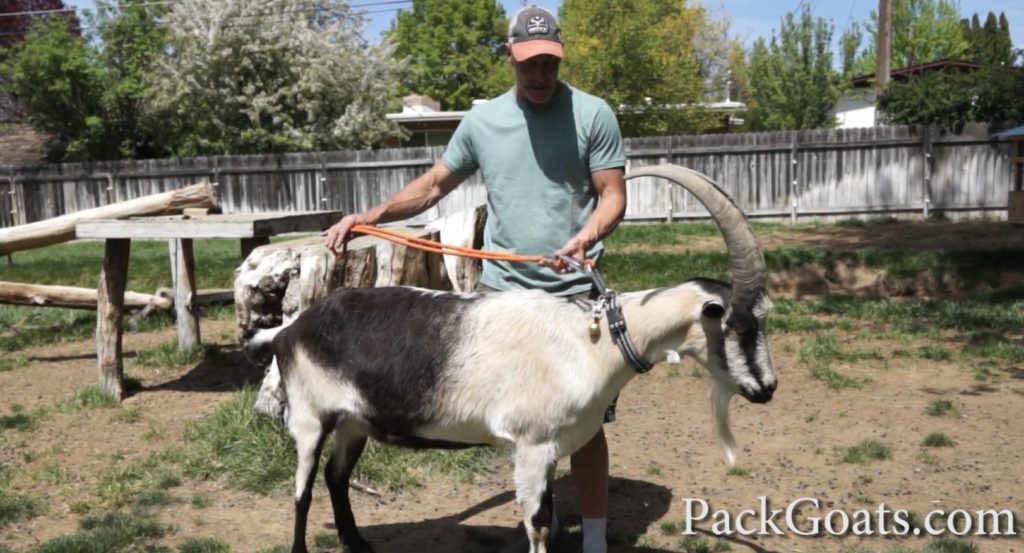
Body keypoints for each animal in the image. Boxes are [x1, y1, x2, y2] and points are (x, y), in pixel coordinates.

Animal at [247, 163, 774, 553]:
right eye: (741, 326)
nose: (766, 388)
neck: (591, 340)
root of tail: (291, 329)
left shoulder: (554, 447)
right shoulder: (532, 445)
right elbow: (537, 524)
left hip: (355, 421)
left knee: (336, 478)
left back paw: (359, 545)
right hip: (310, 417)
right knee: (302, 490)